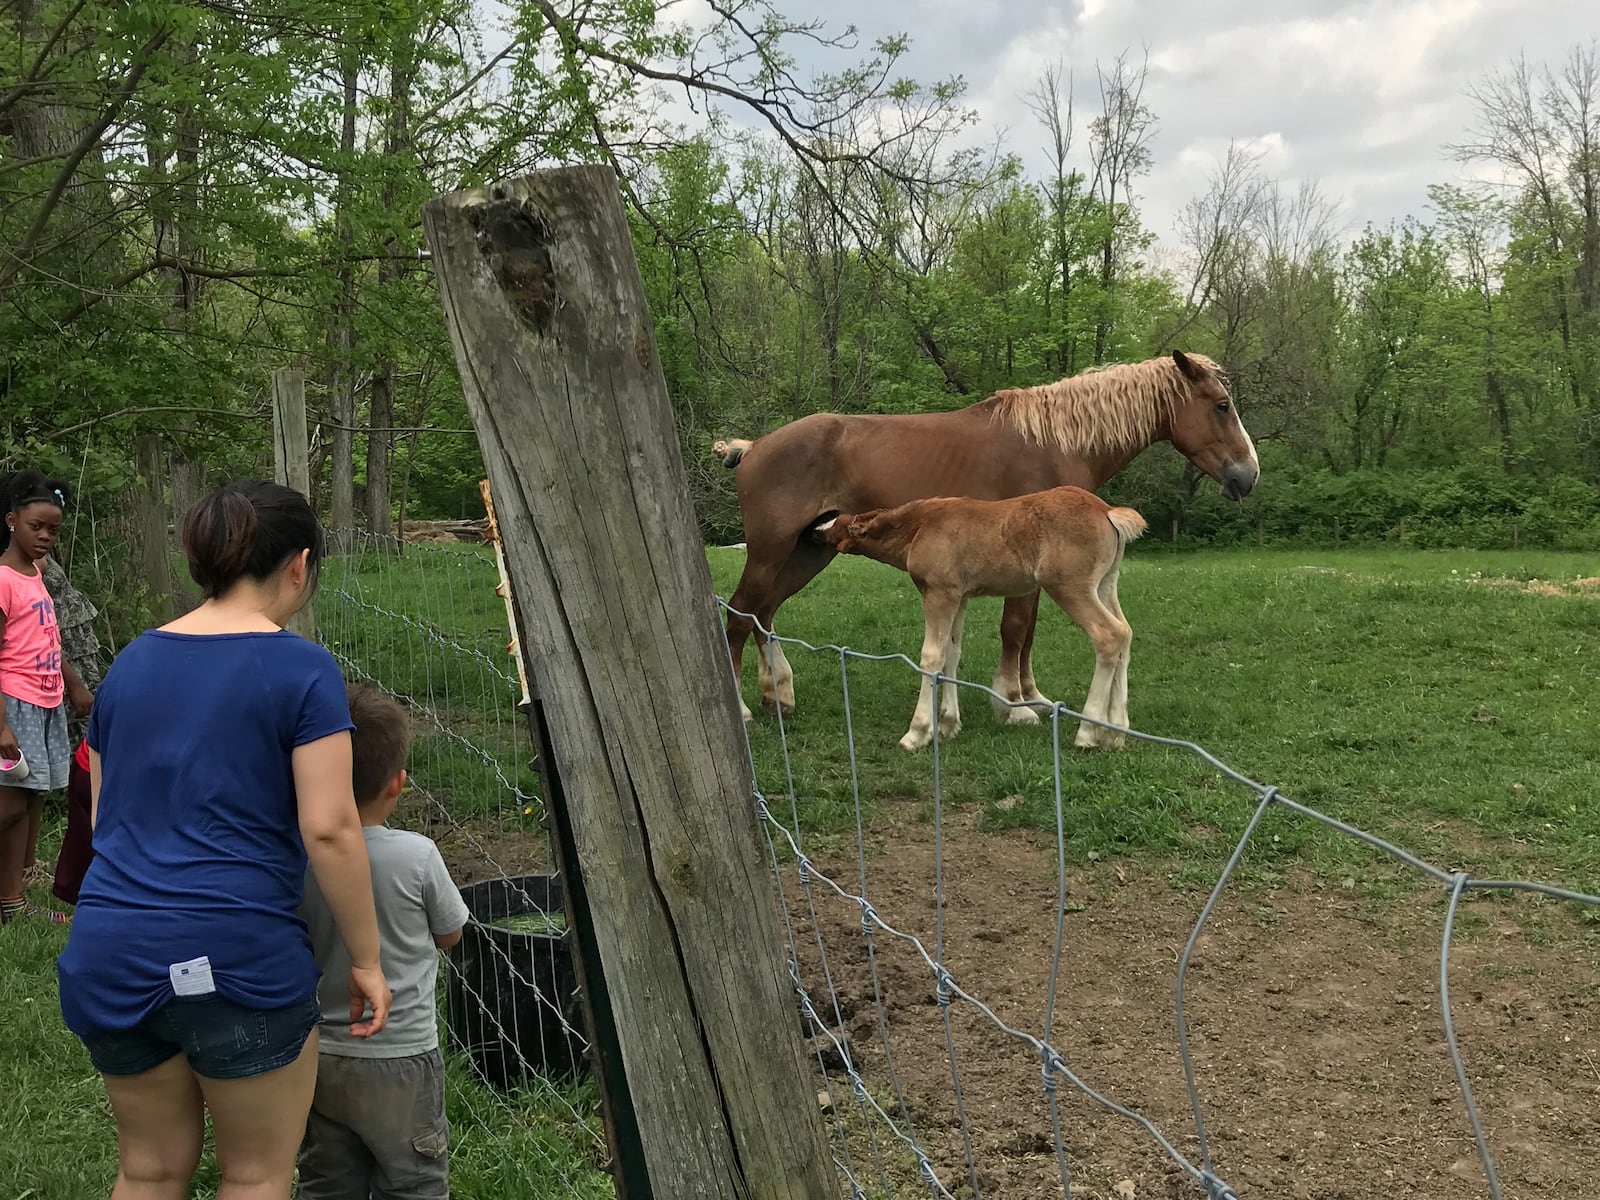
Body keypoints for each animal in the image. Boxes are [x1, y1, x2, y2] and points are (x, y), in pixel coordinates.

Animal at [716, 347, 1260, 723]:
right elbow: (1015, 629)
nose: (1248, 476)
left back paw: (779, 694)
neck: (1055, 441)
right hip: (770, 551)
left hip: (808, 551)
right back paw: (741, 709)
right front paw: (1013, 705)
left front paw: (1032, 696)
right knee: (739, 615)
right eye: (1221, 405)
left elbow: (1028, 632)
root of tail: (755, 446)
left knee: (763, 612)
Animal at [819, 486, 1145, 752]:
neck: (920, 527)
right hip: (1104, 584)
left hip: (1068, 586)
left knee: (1109, 635)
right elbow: (951, 653)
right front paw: (948, 724)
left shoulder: (939, 593)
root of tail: (1107, 512)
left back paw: (1088, 732)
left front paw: (919, 731)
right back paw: (1116, 732)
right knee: (1125, 633)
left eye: (840, 523)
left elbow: (931, 656)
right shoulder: (959, 596)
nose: (818, 528)